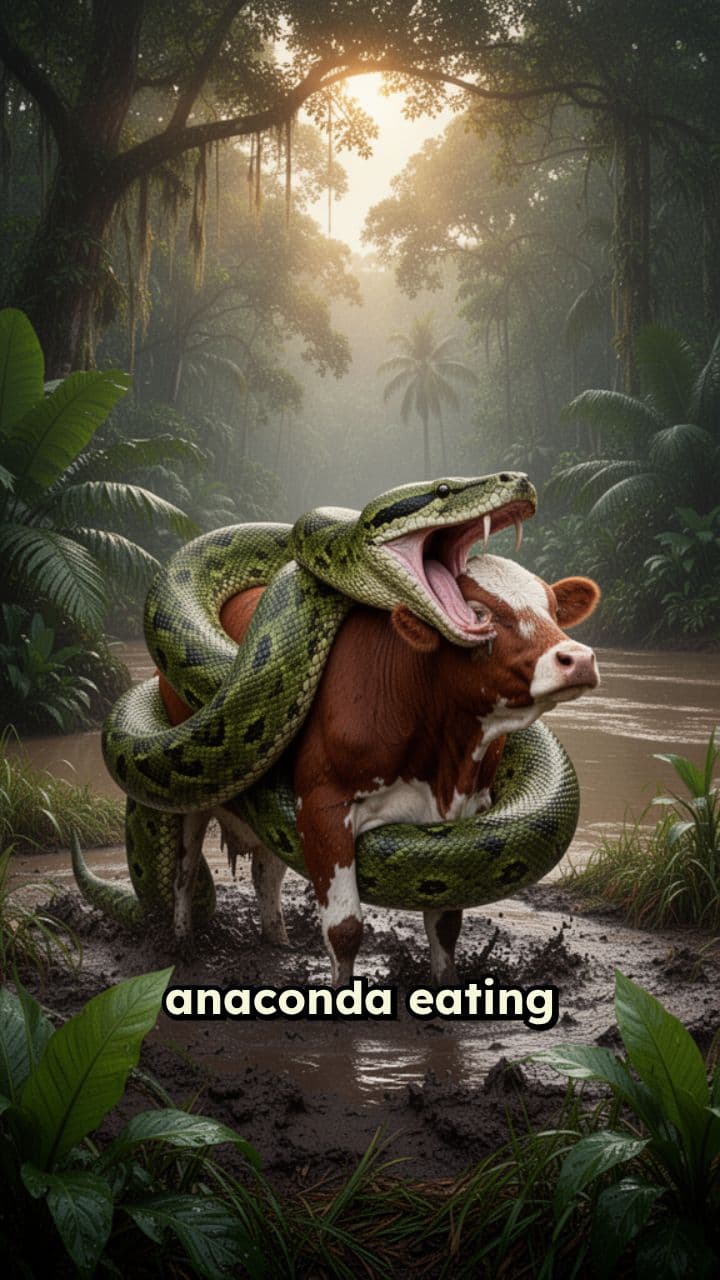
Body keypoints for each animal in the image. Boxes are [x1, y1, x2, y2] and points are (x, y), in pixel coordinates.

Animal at [160, 554, 600, 985]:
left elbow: (445, 926)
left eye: (554, 609)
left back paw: (277, 940)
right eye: (478, 613)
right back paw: (182, 945)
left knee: (267, 869)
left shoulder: (461, 813)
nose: (578, 659)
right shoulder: (321, 809)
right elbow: (344, 929)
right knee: (184, 872)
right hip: (193, 800)